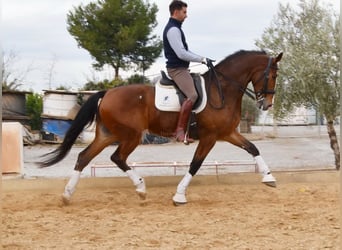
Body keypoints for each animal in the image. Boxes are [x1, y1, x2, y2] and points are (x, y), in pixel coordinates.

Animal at [40, 49, 284, 204]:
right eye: (272, 75)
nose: (267, 104)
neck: (222, 89)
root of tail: (106, 93)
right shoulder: (210, 137)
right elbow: (195, 165)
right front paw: (179, 196)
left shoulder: (227, 133)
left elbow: (253, 148)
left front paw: (269, 178)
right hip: (131, 135)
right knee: (117, 157)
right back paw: (140, 188)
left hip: (107, 135)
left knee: (84, 157)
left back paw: (67, 195)